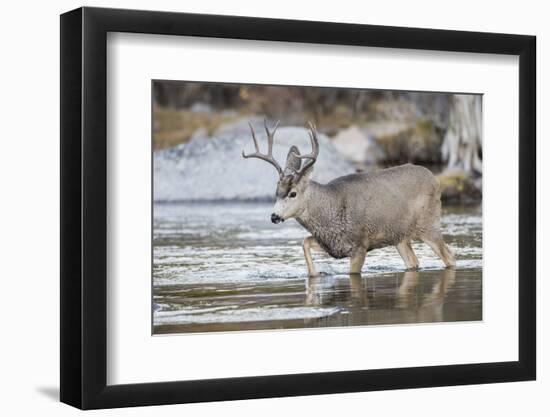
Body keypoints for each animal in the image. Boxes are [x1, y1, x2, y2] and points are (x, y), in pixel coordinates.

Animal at [243, 120, 458, 276]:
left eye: (293, 193)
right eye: (276, 191)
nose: (274, 216)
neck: (331, 209)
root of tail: (434, 179)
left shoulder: (359, 245)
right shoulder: (332, 245)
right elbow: (305, 242)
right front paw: (315, 274)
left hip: (429, 224)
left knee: (450, 257)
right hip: (399, 236)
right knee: (413, 262)